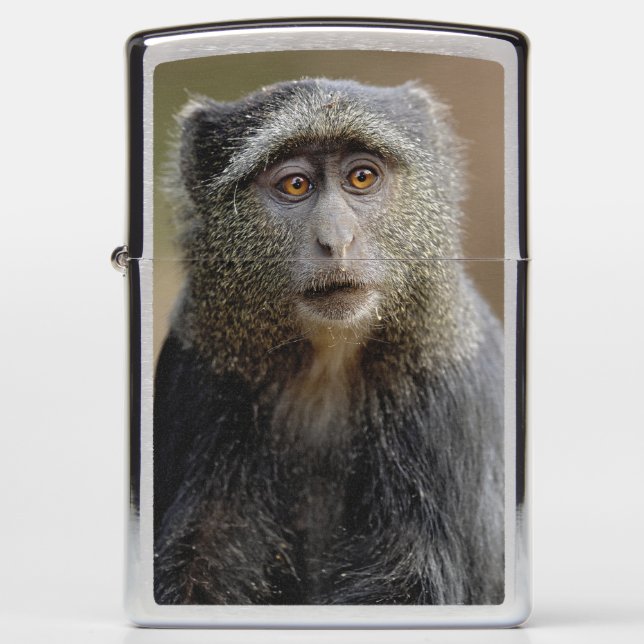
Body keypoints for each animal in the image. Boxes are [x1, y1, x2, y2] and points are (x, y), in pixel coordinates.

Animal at [153, 78, 505, 606]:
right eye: (296, 185)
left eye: (361, 177)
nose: (336, 240)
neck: (327, 363)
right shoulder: (202, 376)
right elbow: (201, 558)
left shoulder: (446, 393)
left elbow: (413, 580)